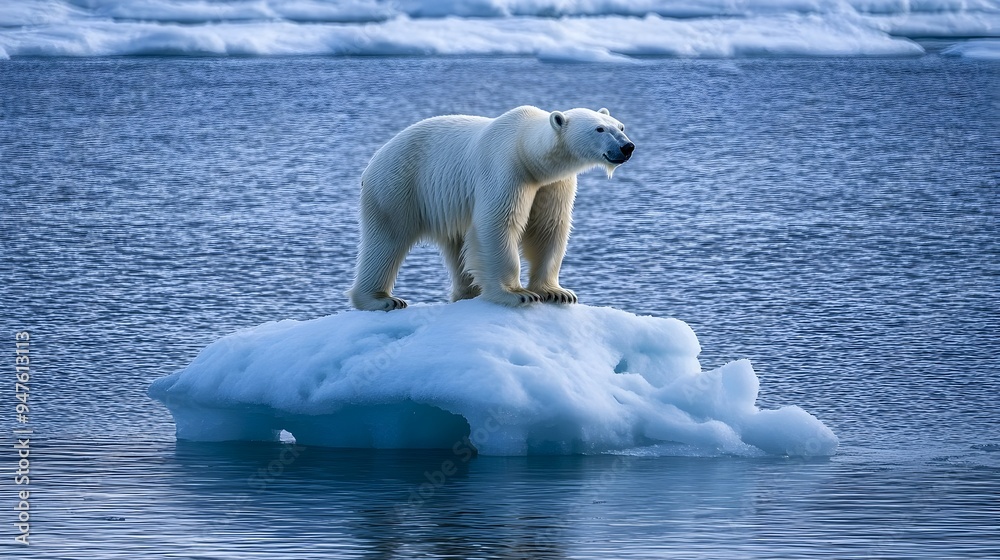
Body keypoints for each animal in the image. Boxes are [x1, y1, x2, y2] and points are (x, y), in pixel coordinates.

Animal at [348, 105, 634, 311]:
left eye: (620, 126)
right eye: (599, 129)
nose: (627, 146)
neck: (526, 149)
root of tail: (372, 162)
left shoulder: (553, 184)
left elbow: (548, 228)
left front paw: (557, 292)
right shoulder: (506, 169)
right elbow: (498, 224)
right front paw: (517, 294)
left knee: (456, 245)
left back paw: (467, 293)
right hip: (399, 186)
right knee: (387, 239)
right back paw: (382, 299)